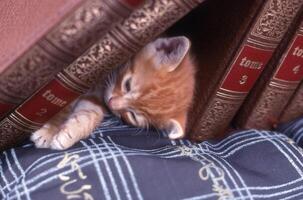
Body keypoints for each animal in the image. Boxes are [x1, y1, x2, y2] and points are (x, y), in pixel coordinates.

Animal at [30, 35, 196, 150]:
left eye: (133, 116)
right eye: (127, 85)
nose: (111, 103)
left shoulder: (97, 98)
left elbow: (92, 114)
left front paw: (70, 133)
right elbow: (61, 105)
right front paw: (50, 130)